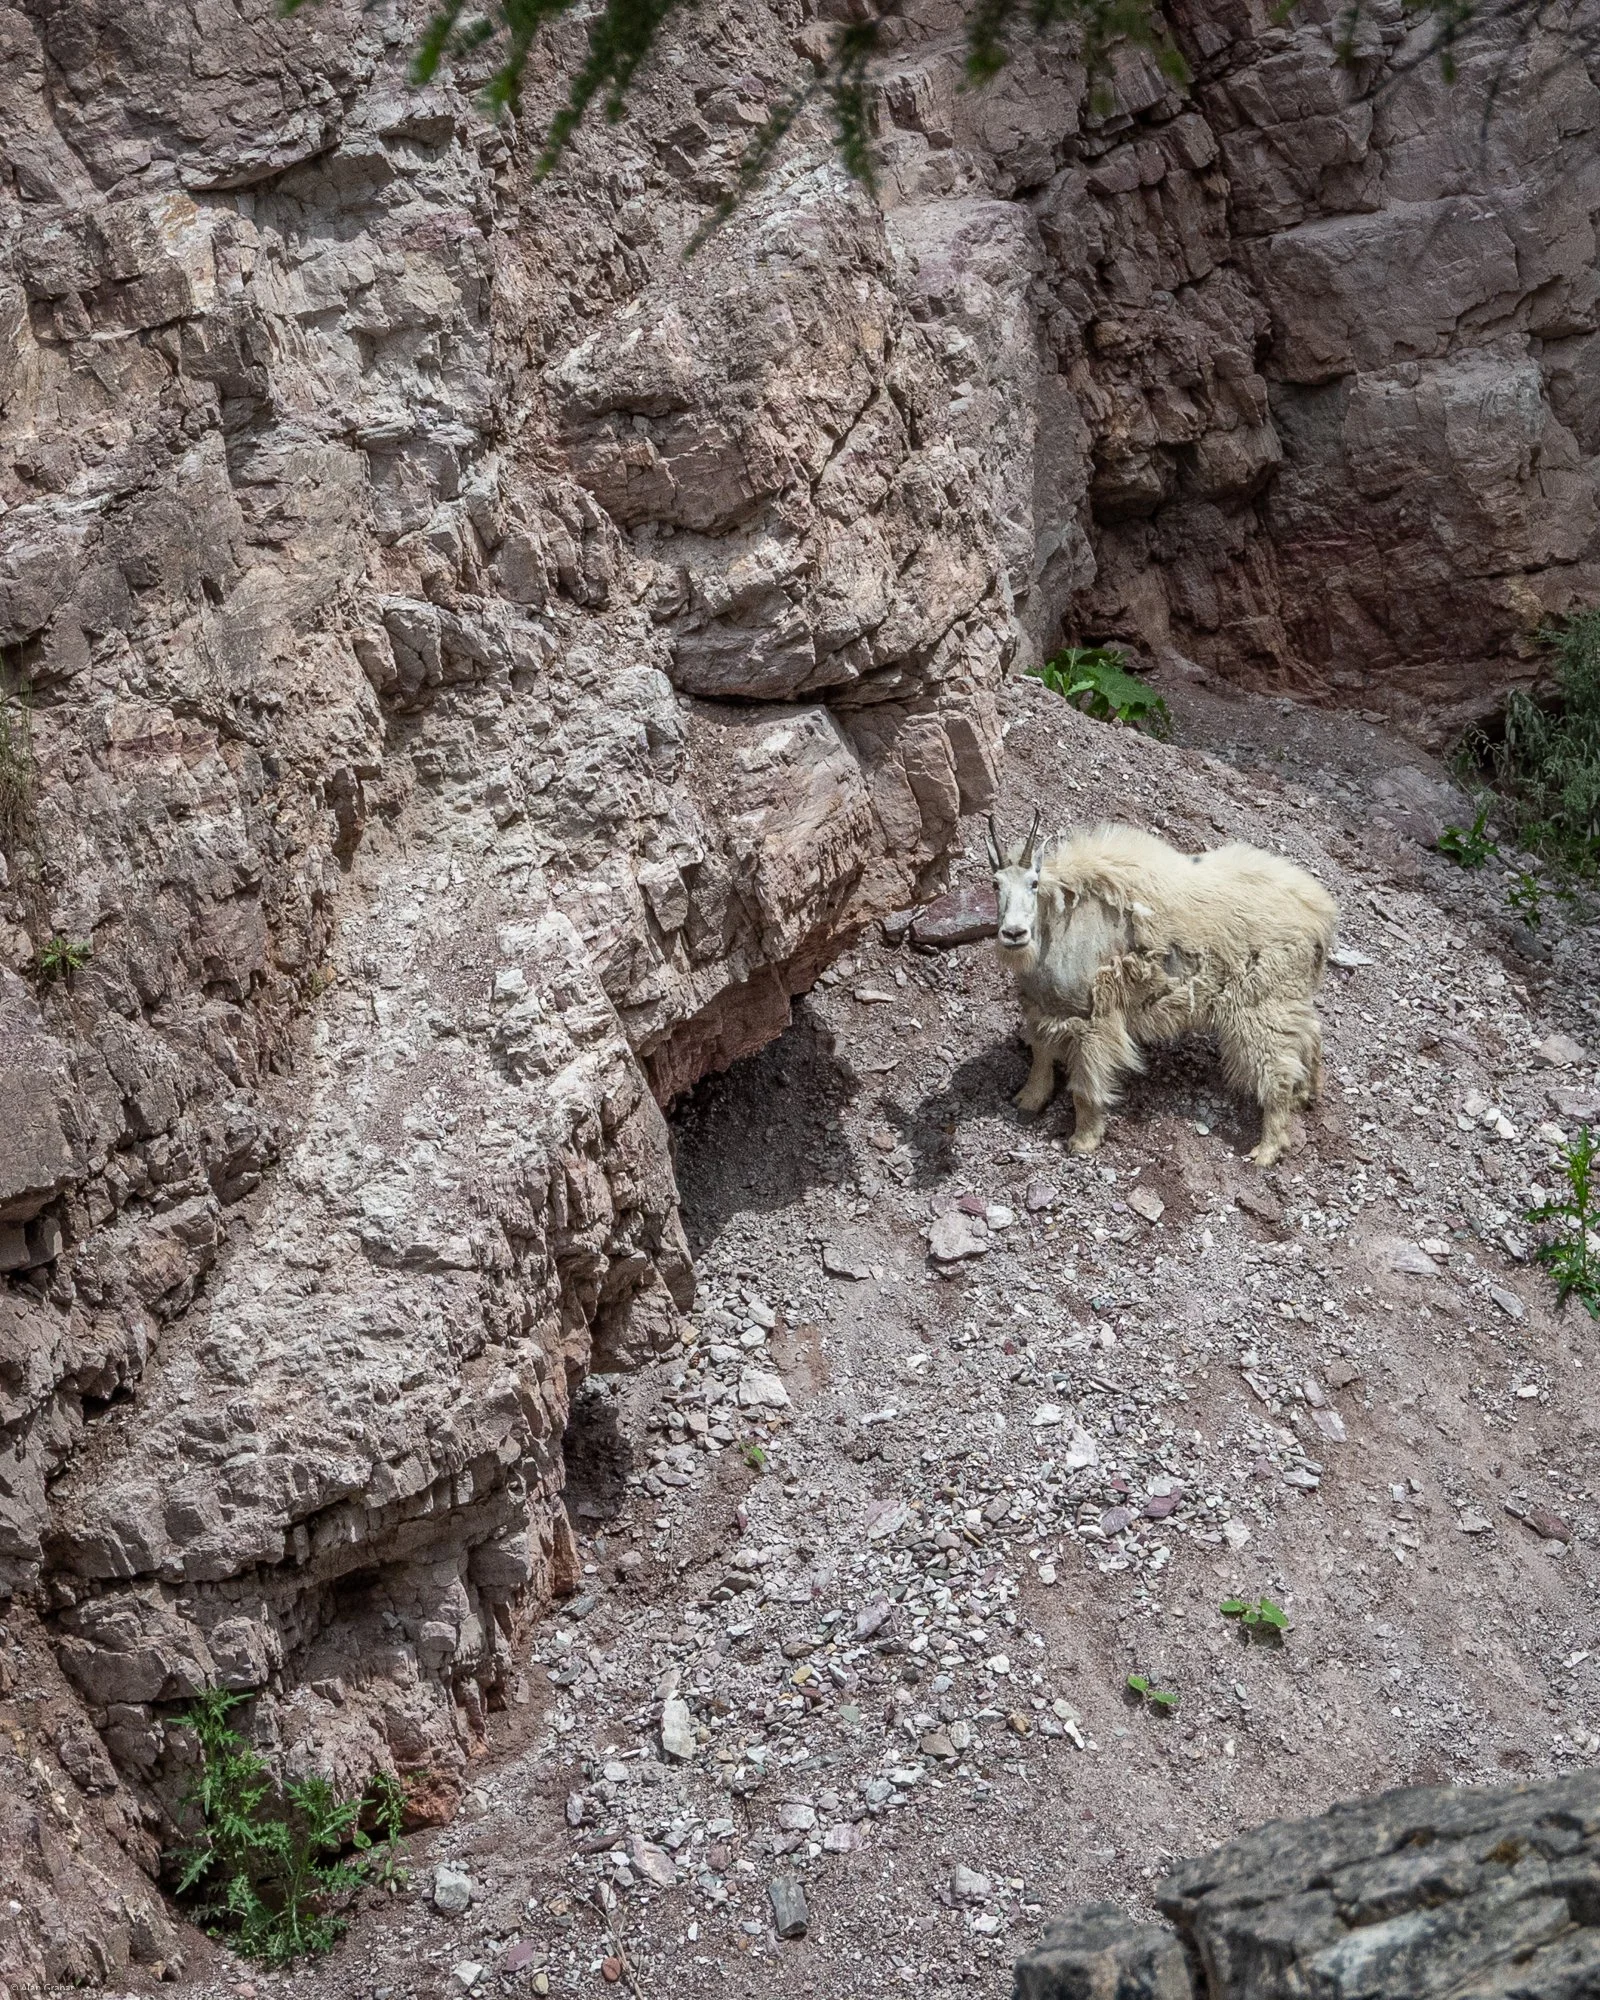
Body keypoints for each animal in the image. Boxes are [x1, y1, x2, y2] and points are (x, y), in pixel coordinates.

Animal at [986, 816, 1337, 1167]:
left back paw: (1267, 1149)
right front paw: (1027, 1100)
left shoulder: (1094, 1017)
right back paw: (1307, 1093)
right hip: (1288, 996)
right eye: (995, 885)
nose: (1014, 934)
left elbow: (1086, 1083)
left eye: (1034, 883)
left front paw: (1083, 1140)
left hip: (1263, 1004)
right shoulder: (1043, 1007)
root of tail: (1319, 917)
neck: (1057, 925)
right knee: (1311, 1031)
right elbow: (1040, 1053)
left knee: (1277, 1068)